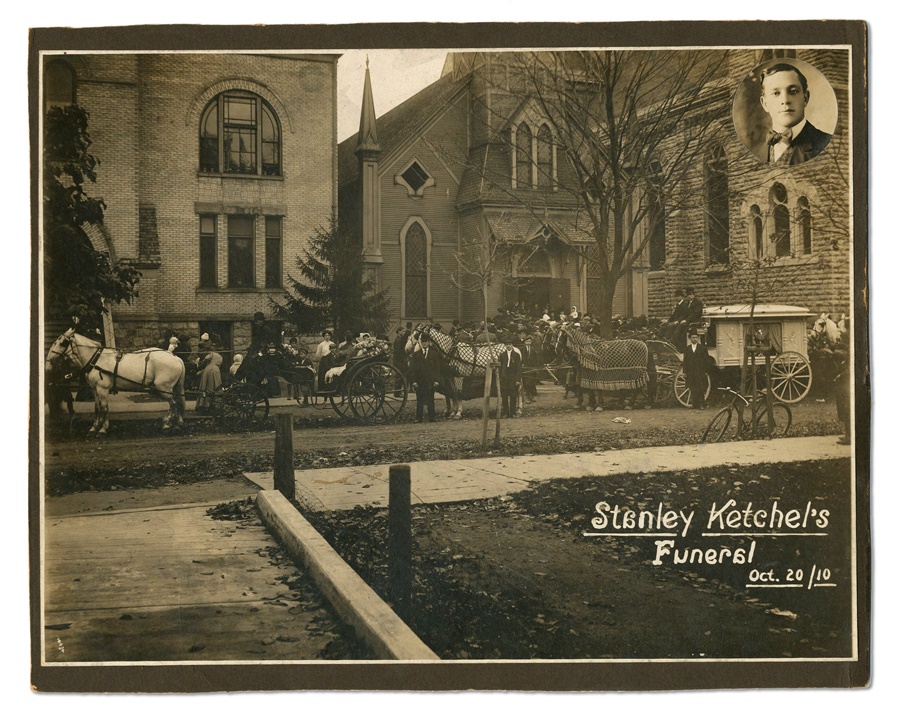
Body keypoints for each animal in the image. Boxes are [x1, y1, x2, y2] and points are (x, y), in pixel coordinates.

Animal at [46, 330, 187, 436]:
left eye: (62, 343)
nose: (48, 363)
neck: (96, 359)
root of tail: (174, 357)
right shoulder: (94, 389)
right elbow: (97, 408)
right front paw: (94, 428)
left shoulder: (102, 389)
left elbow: (104, 408)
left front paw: (103, 429)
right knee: (177, 404)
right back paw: (177, 423)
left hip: (164, 388)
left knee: (174, 404)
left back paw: (167, 424)